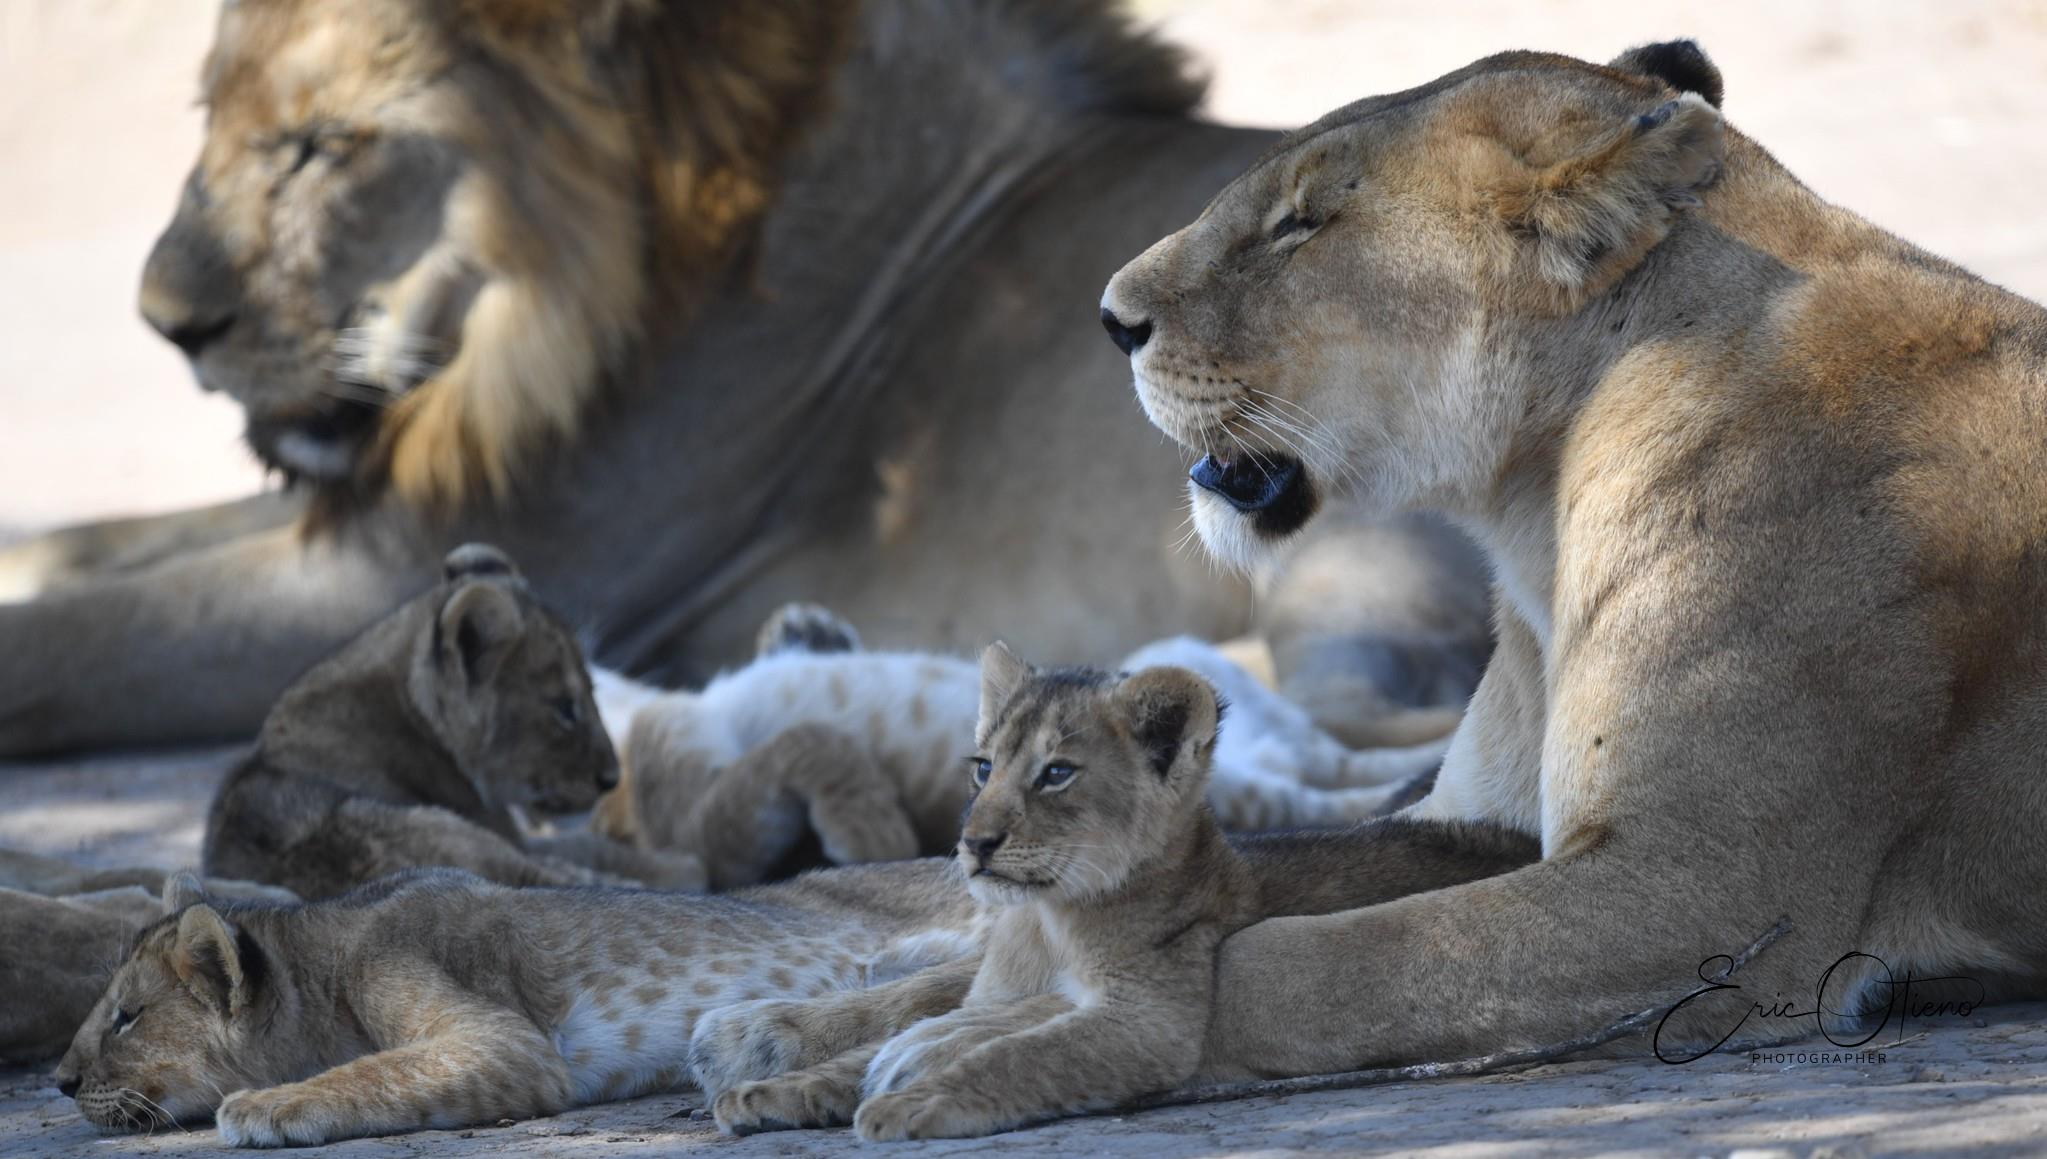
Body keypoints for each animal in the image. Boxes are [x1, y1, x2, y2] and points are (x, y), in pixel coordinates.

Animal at [0, 0, 1488, 758]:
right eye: (211, 118)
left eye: (322, 147)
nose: (166, 324)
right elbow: (101, 542)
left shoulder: (467, 551)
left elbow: (70, 648)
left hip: (1321, 533)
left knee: (1381, 711)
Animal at [1091, 40, 2047, 1076]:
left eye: (1299, 223)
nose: (1110, 319)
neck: (1532, 517)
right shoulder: (1483, 825)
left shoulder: (1704, 891)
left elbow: (1295, 967)